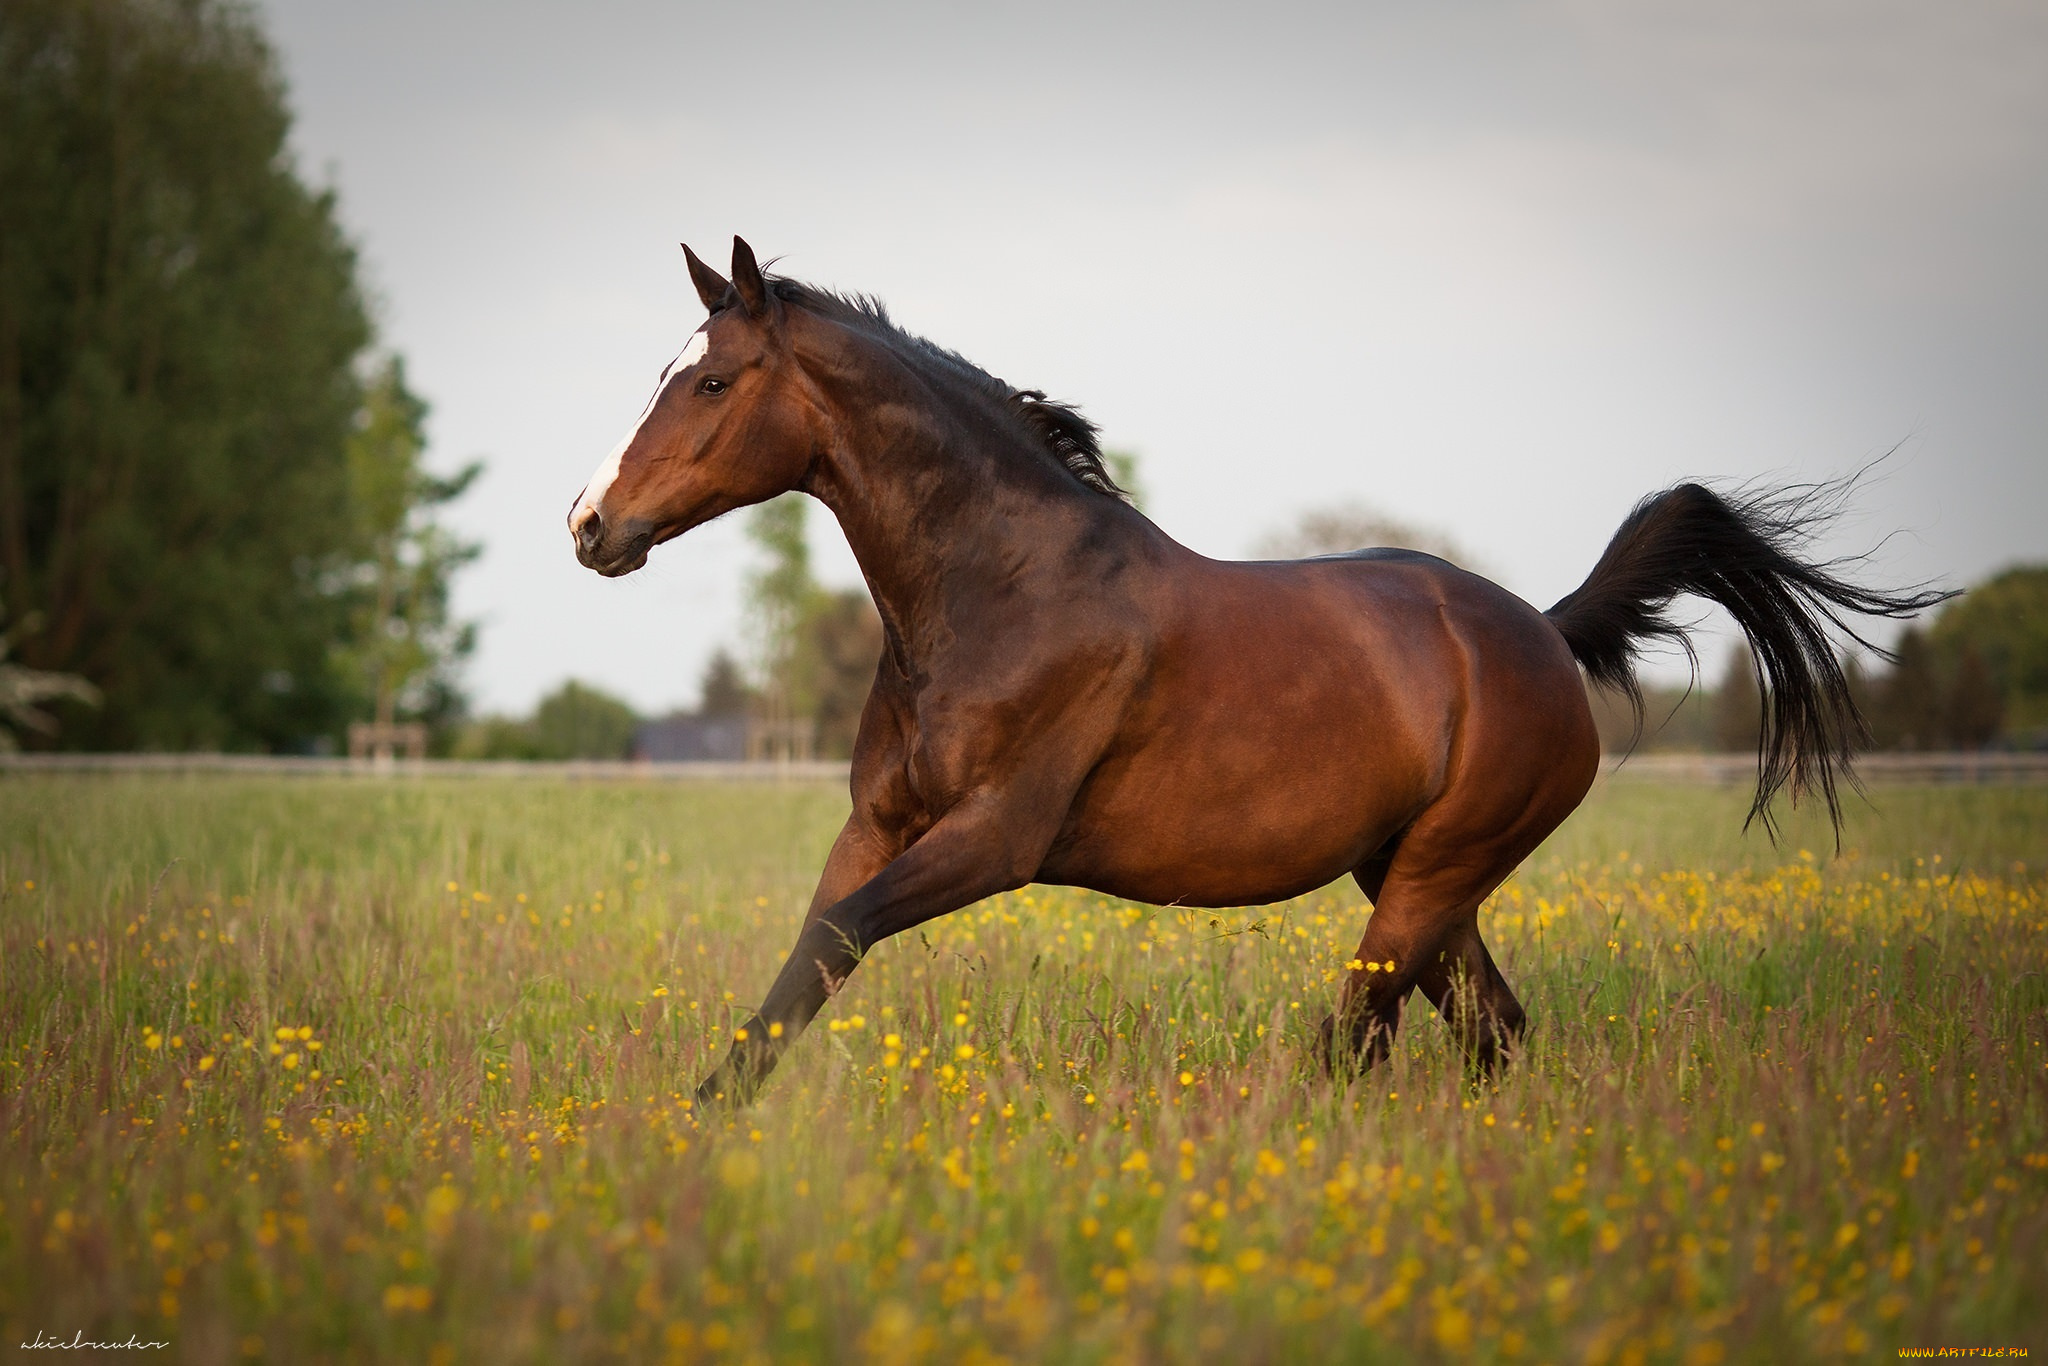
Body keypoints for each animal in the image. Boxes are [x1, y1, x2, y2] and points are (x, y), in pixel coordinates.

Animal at [569, 240, 1941, 1105]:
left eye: (709, 380)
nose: (588, 526)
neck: (1001, 593)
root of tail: (1544, 634)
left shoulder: (995, 839)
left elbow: (840, 935)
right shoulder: (879, 824)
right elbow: (807, 960)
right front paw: (698, 1122)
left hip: (1426, 880)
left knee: (1361, 1042)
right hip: (1418, 879)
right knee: (1489, 1033)